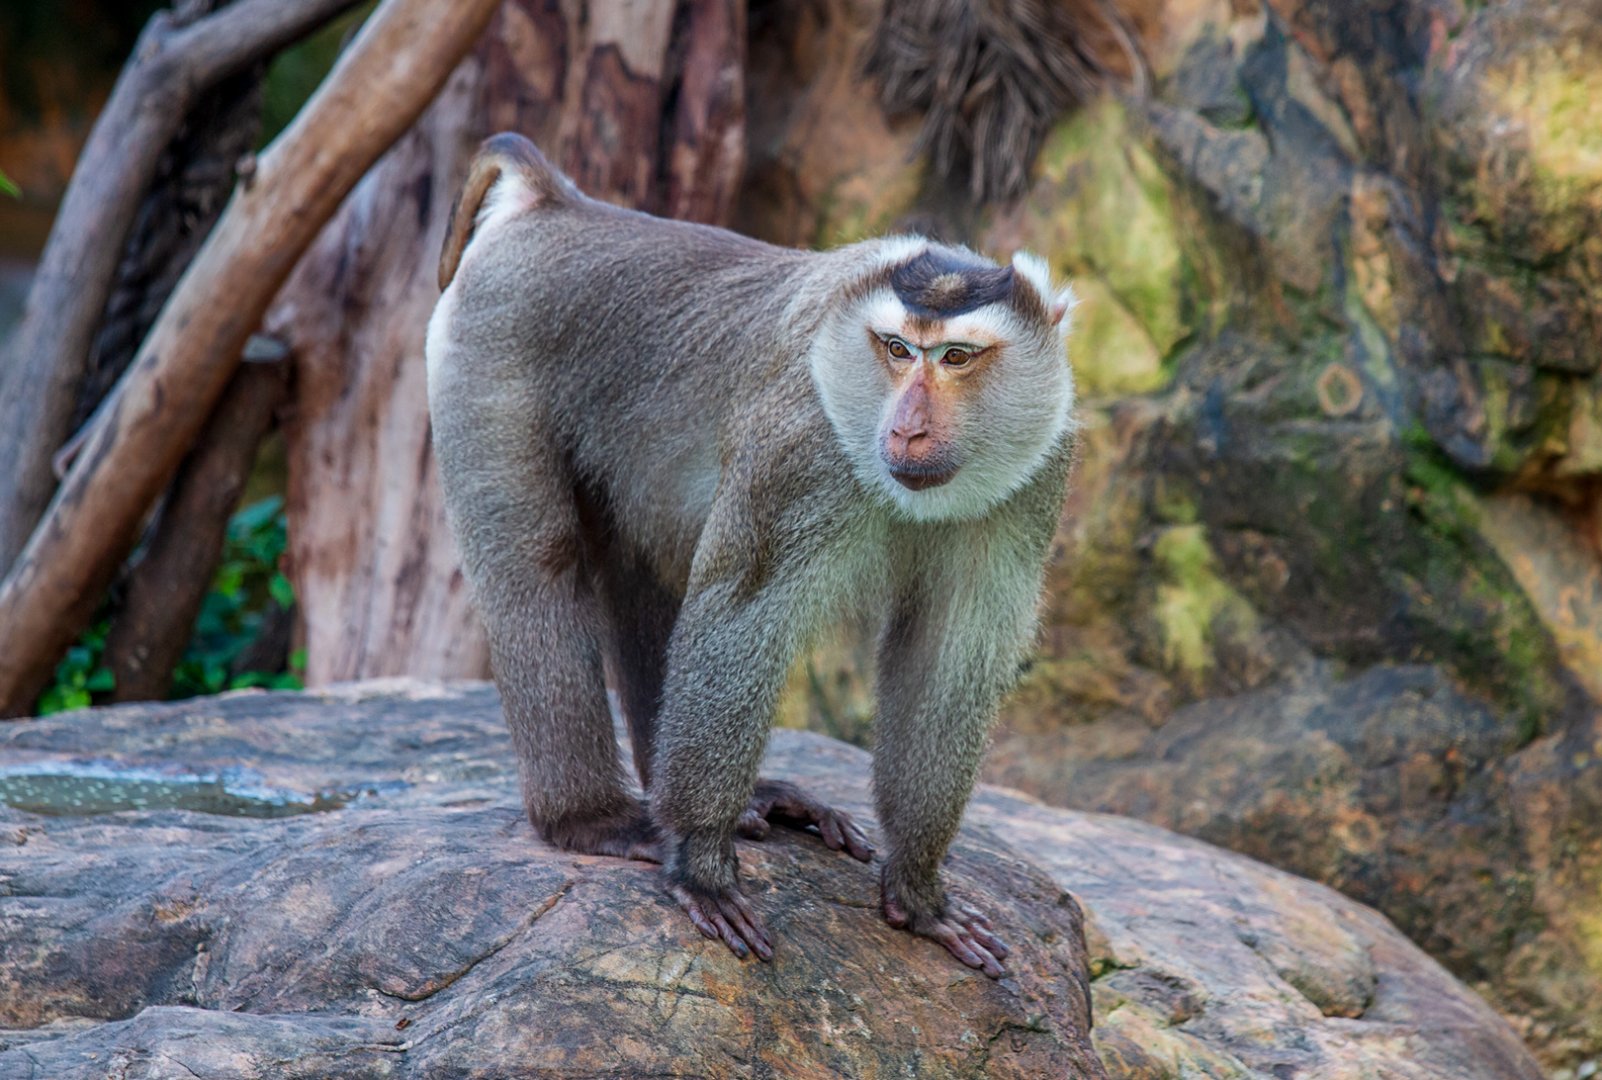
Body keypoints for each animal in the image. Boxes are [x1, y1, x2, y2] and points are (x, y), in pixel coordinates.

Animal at [425, 133, 1076, 977]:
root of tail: (558, 204)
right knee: (538, 573)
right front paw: (701, 866)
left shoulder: (1036, 477)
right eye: (899, 349)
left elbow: (948, 655)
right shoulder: (797, 446)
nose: (906, 429)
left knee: (644, 575)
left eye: (958, 358)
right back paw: (593, 820)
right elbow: (741, 612)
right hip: (488, 355)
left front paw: (919, 886)